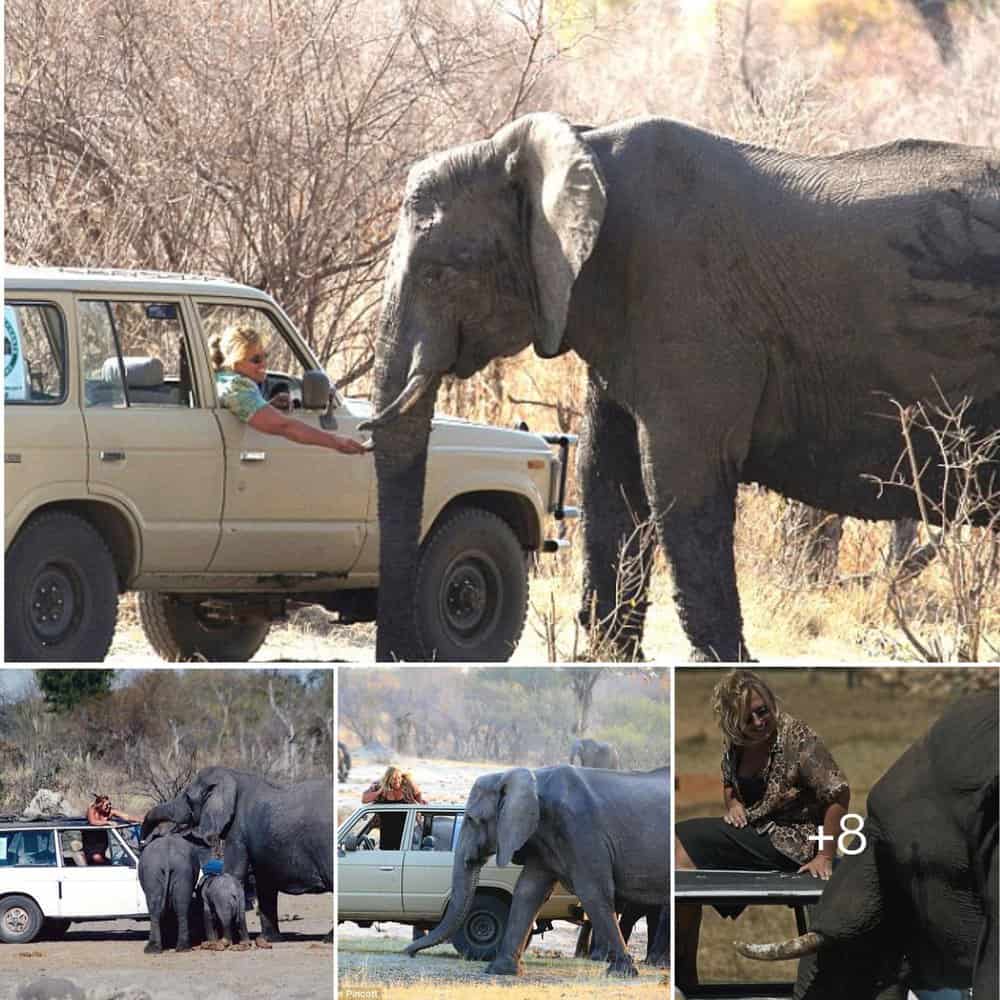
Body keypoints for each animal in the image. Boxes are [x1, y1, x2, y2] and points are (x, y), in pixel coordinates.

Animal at [138, 822, 211, 953]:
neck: (169, 831)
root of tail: (167, 861)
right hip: (173, 872)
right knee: (177, 905)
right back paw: (177, 948)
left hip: (162, 872)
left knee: (161, 907)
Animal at [140, 766, 333, 943]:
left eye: (187, 797)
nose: (146, 840)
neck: (232, 775)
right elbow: (265, 884)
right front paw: (270, 940)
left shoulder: (237, 832)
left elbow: (234, 873)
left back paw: (328, 940)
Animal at [361, 111, 1000, 663]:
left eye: (438, 273)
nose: (402, 653)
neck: (582, 145)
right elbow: (607, 472)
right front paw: (611, 658)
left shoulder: (685, 304)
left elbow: (677, 474)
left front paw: (726, 665)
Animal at [406, 765, 669, 976]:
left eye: (471, 819)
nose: (409, 953)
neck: (531, 776)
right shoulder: (545, 839)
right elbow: (528, 891)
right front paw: (500, 970)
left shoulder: (581, 831)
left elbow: (593, 892)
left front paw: (622, 972)